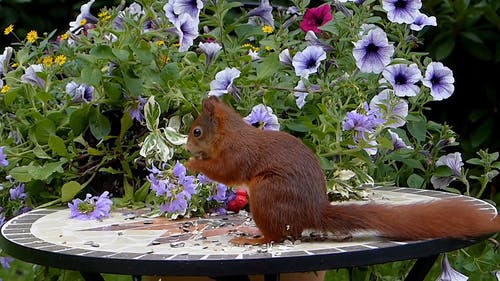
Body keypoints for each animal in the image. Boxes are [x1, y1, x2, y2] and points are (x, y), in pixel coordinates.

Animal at [185, 95, 500, 243]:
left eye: (197, 131)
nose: (187, 146)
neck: (230, 134)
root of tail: (313, 212)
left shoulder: (237, 154)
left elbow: (225, 171)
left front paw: (191, 163)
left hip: (267, 193)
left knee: (279, 235)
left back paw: (254, 238)